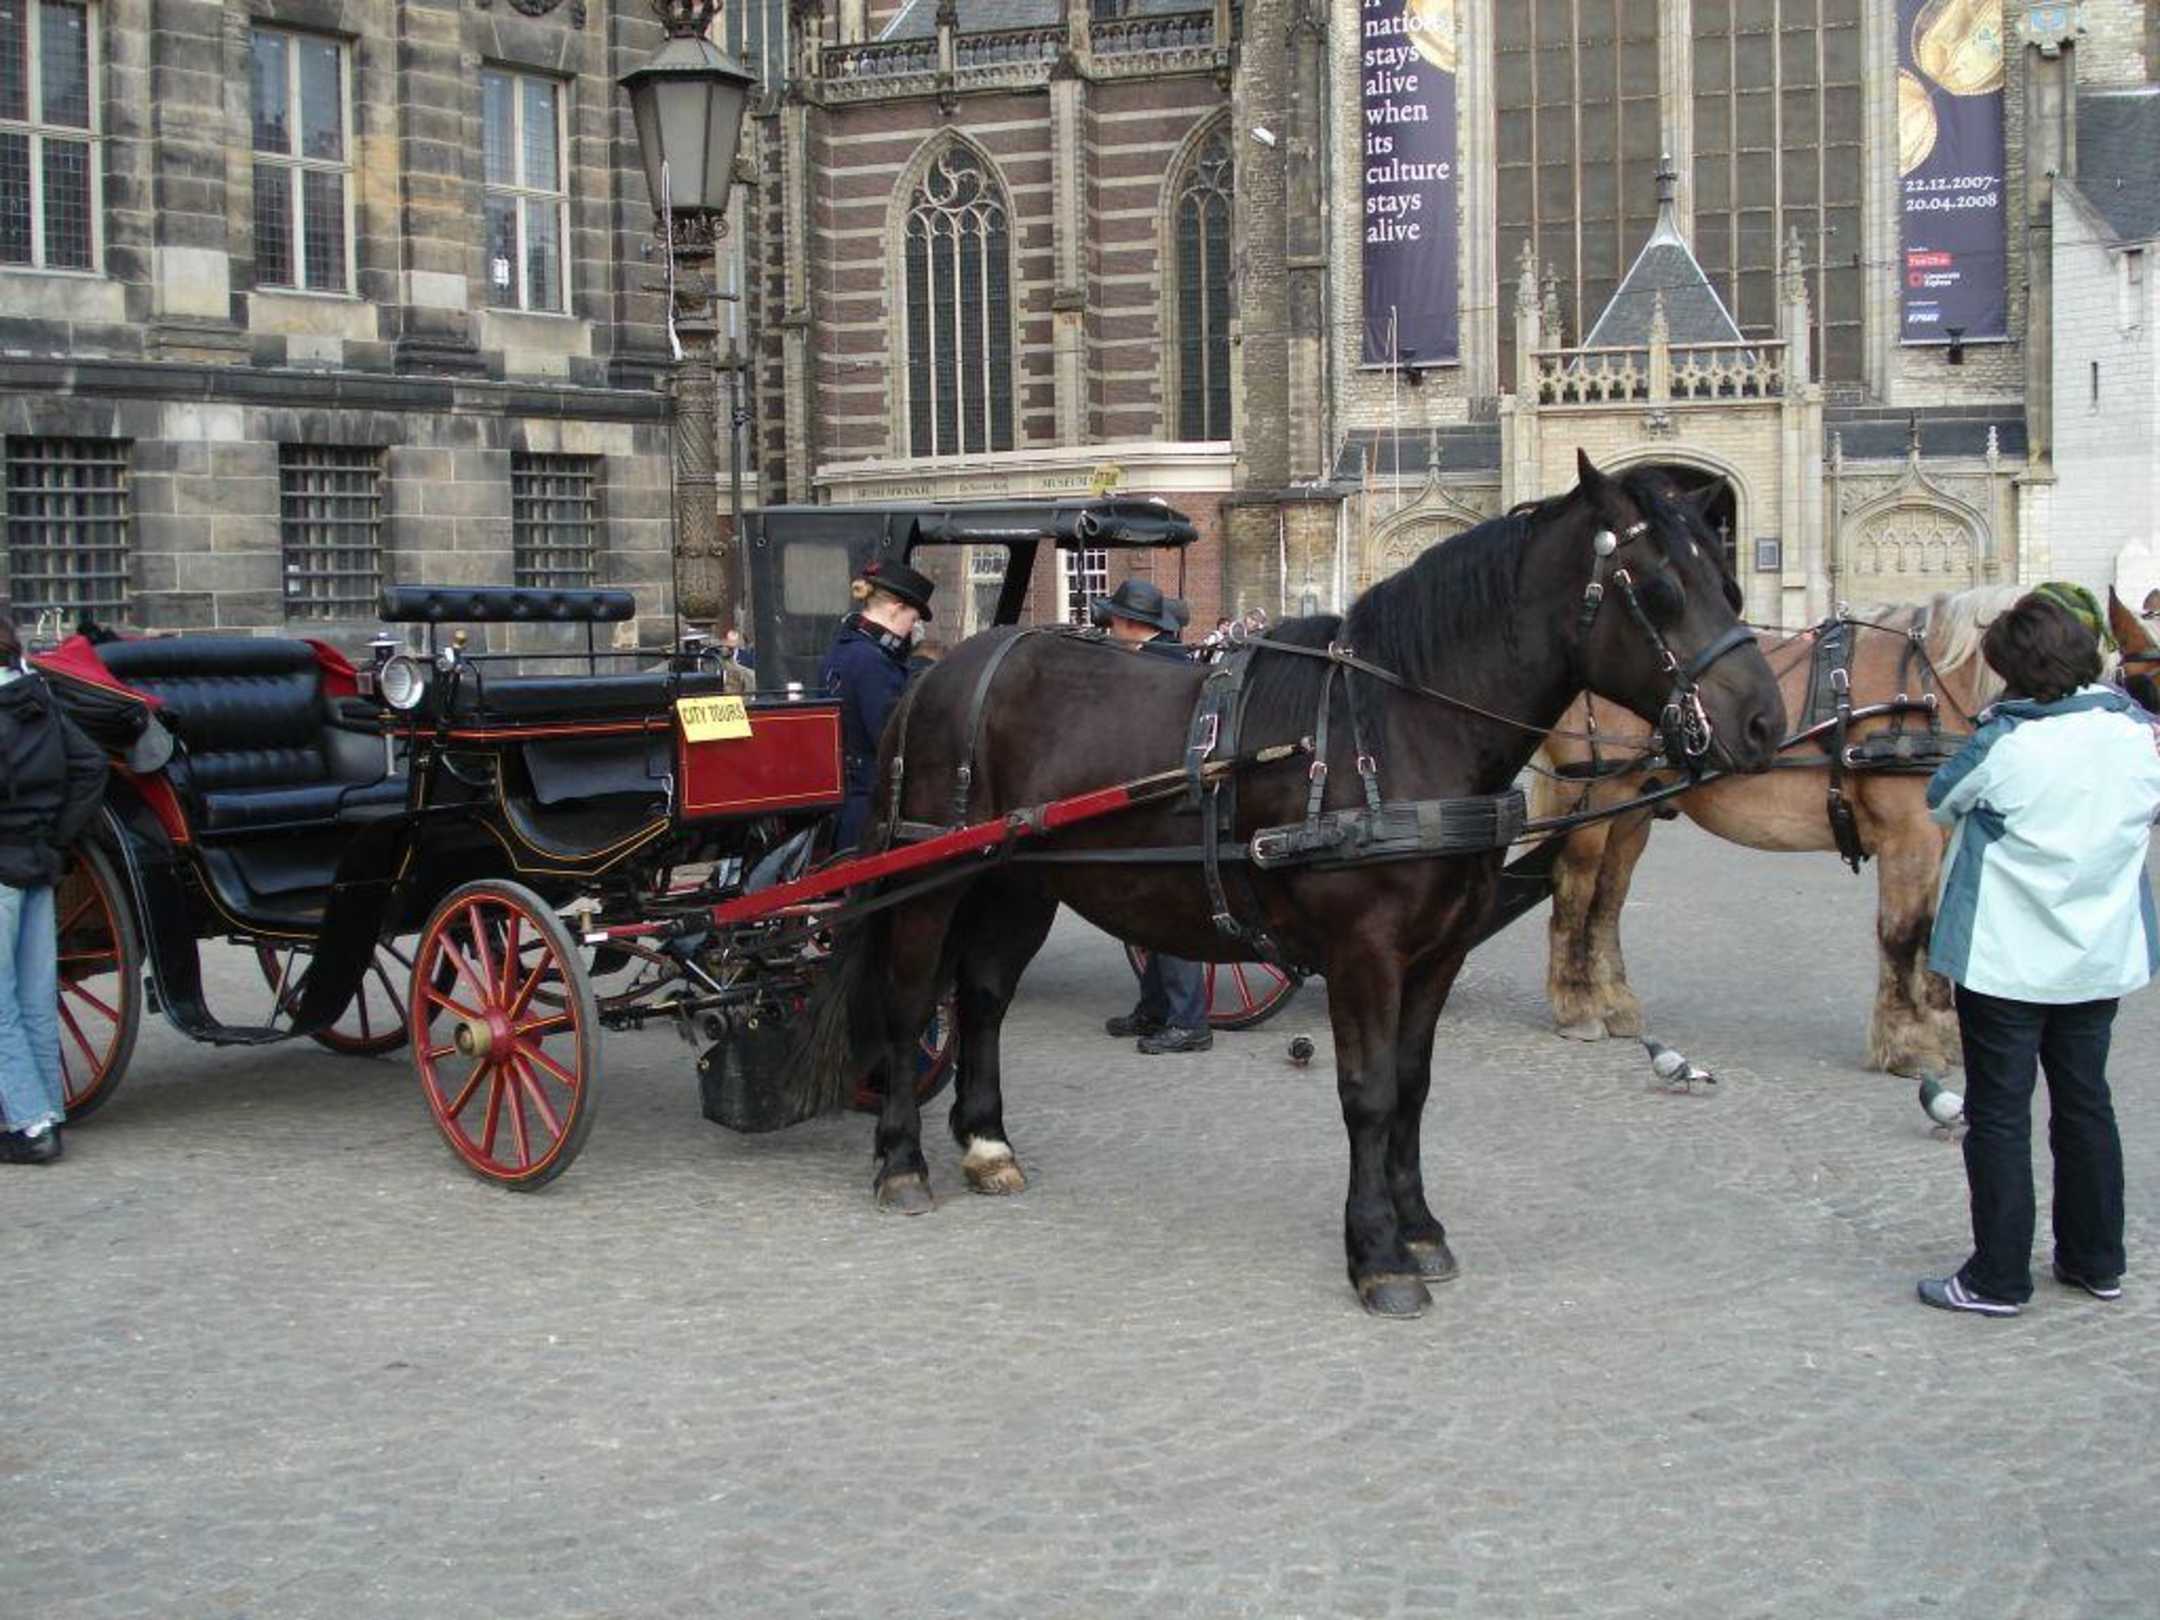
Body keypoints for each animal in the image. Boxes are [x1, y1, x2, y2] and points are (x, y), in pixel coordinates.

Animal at [784, 453, 1787, 1319]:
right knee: (912, 1004)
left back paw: (988, 1143)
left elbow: (1413, 1086)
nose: (1764, 721)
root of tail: (941, 671)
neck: (1398, 724)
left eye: (1731, 583)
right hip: (931, 882)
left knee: (984, 998)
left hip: (1019, 885)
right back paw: (901, 1163)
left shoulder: (1438, 953)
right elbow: (1368, 1092)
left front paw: (1420, 1228)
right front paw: (1377, 1254)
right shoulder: (1364, 954)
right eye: (1661, 590)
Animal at [1531, 585, 2029, 1080]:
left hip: (1630, 814)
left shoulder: (1940, 842)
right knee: (1574, 894)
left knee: (1607, 902)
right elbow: (1904, 933)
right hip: (1595, 804)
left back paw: (1614, 1003)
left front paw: (1942, 1034)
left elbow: (1933, 932)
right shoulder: (1908, 837)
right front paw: (1907, 1044)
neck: (1927, 692)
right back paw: (1577, 1006)